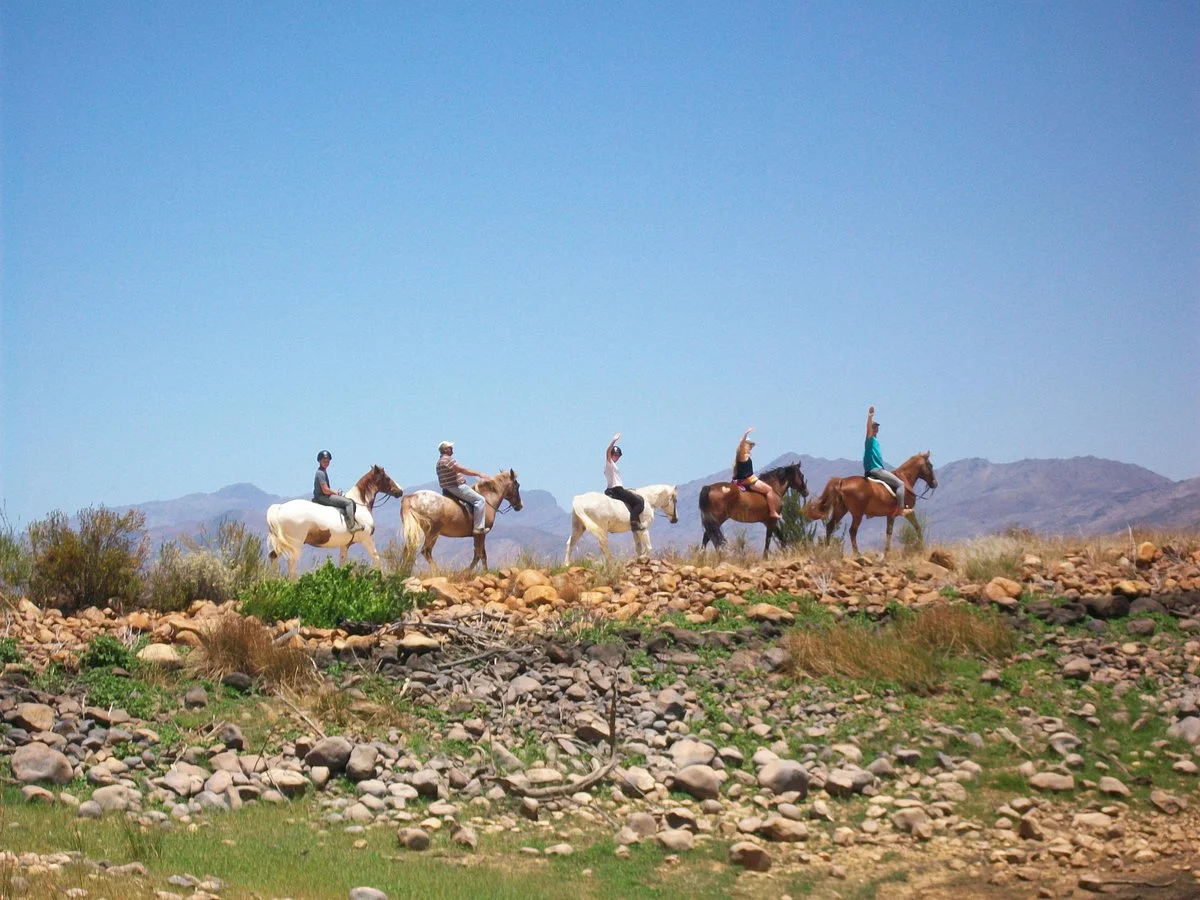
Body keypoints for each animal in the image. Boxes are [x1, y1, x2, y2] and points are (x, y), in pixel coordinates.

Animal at [266, 465, 404, 579]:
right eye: (386, 478)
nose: (400, 491)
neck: (360, 504)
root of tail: (279, 508)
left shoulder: (345, 545)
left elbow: (343, 564)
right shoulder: (367, 539)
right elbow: (376, 558)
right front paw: (382, 580)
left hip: (282, 543)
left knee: (273, 556)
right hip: (294, 544)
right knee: (291, 563)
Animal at [803, 451, 937, 556]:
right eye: (930, 465)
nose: (935, 484)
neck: (904, 479)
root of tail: (842, 481)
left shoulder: (890, 515)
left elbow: (889, 532)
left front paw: (887, 552)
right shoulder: (908, 512)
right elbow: (917, 526)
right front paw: (921, 546)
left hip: (841, 509)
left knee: (830, 526)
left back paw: (827, 548)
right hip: (857, 514)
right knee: (852, 531)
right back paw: (857, 553)